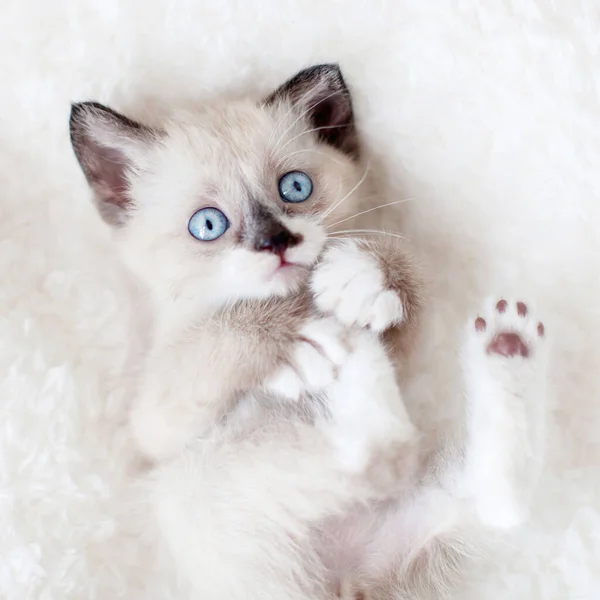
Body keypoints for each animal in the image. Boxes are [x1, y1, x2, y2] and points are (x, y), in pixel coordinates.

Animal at [68, 65, 548, 600]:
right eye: (208, 224)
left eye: (294, 188)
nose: (276, 242)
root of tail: (344, 587)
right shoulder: (153, 426)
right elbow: (220, 330)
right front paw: (290, 335)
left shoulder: (401, 341)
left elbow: (401, 266)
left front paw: (361, 274)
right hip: (198, 486)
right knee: (386, 457)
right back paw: (354, 354)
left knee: (493, 502)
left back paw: (503, 343)